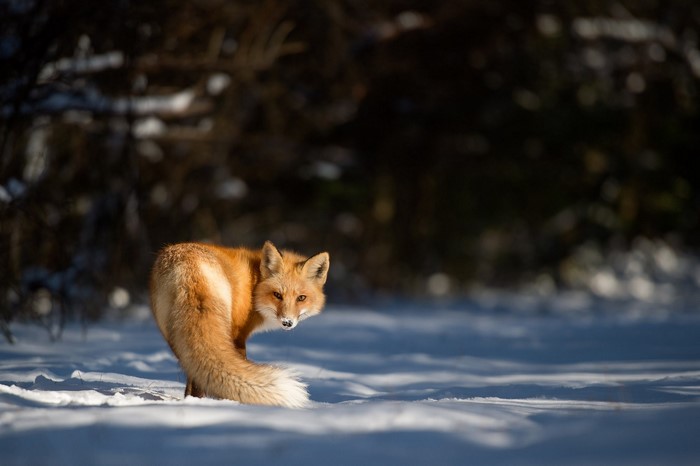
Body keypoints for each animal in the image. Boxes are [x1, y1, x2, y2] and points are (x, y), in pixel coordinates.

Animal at [149, 240, 330, 408]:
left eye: (301, 298)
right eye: (277, 295)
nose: (287, 322)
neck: (254, 284)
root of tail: (188, 268)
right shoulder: (239, 335)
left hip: (175, 337)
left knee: (192, 371)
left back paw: (191, 402)